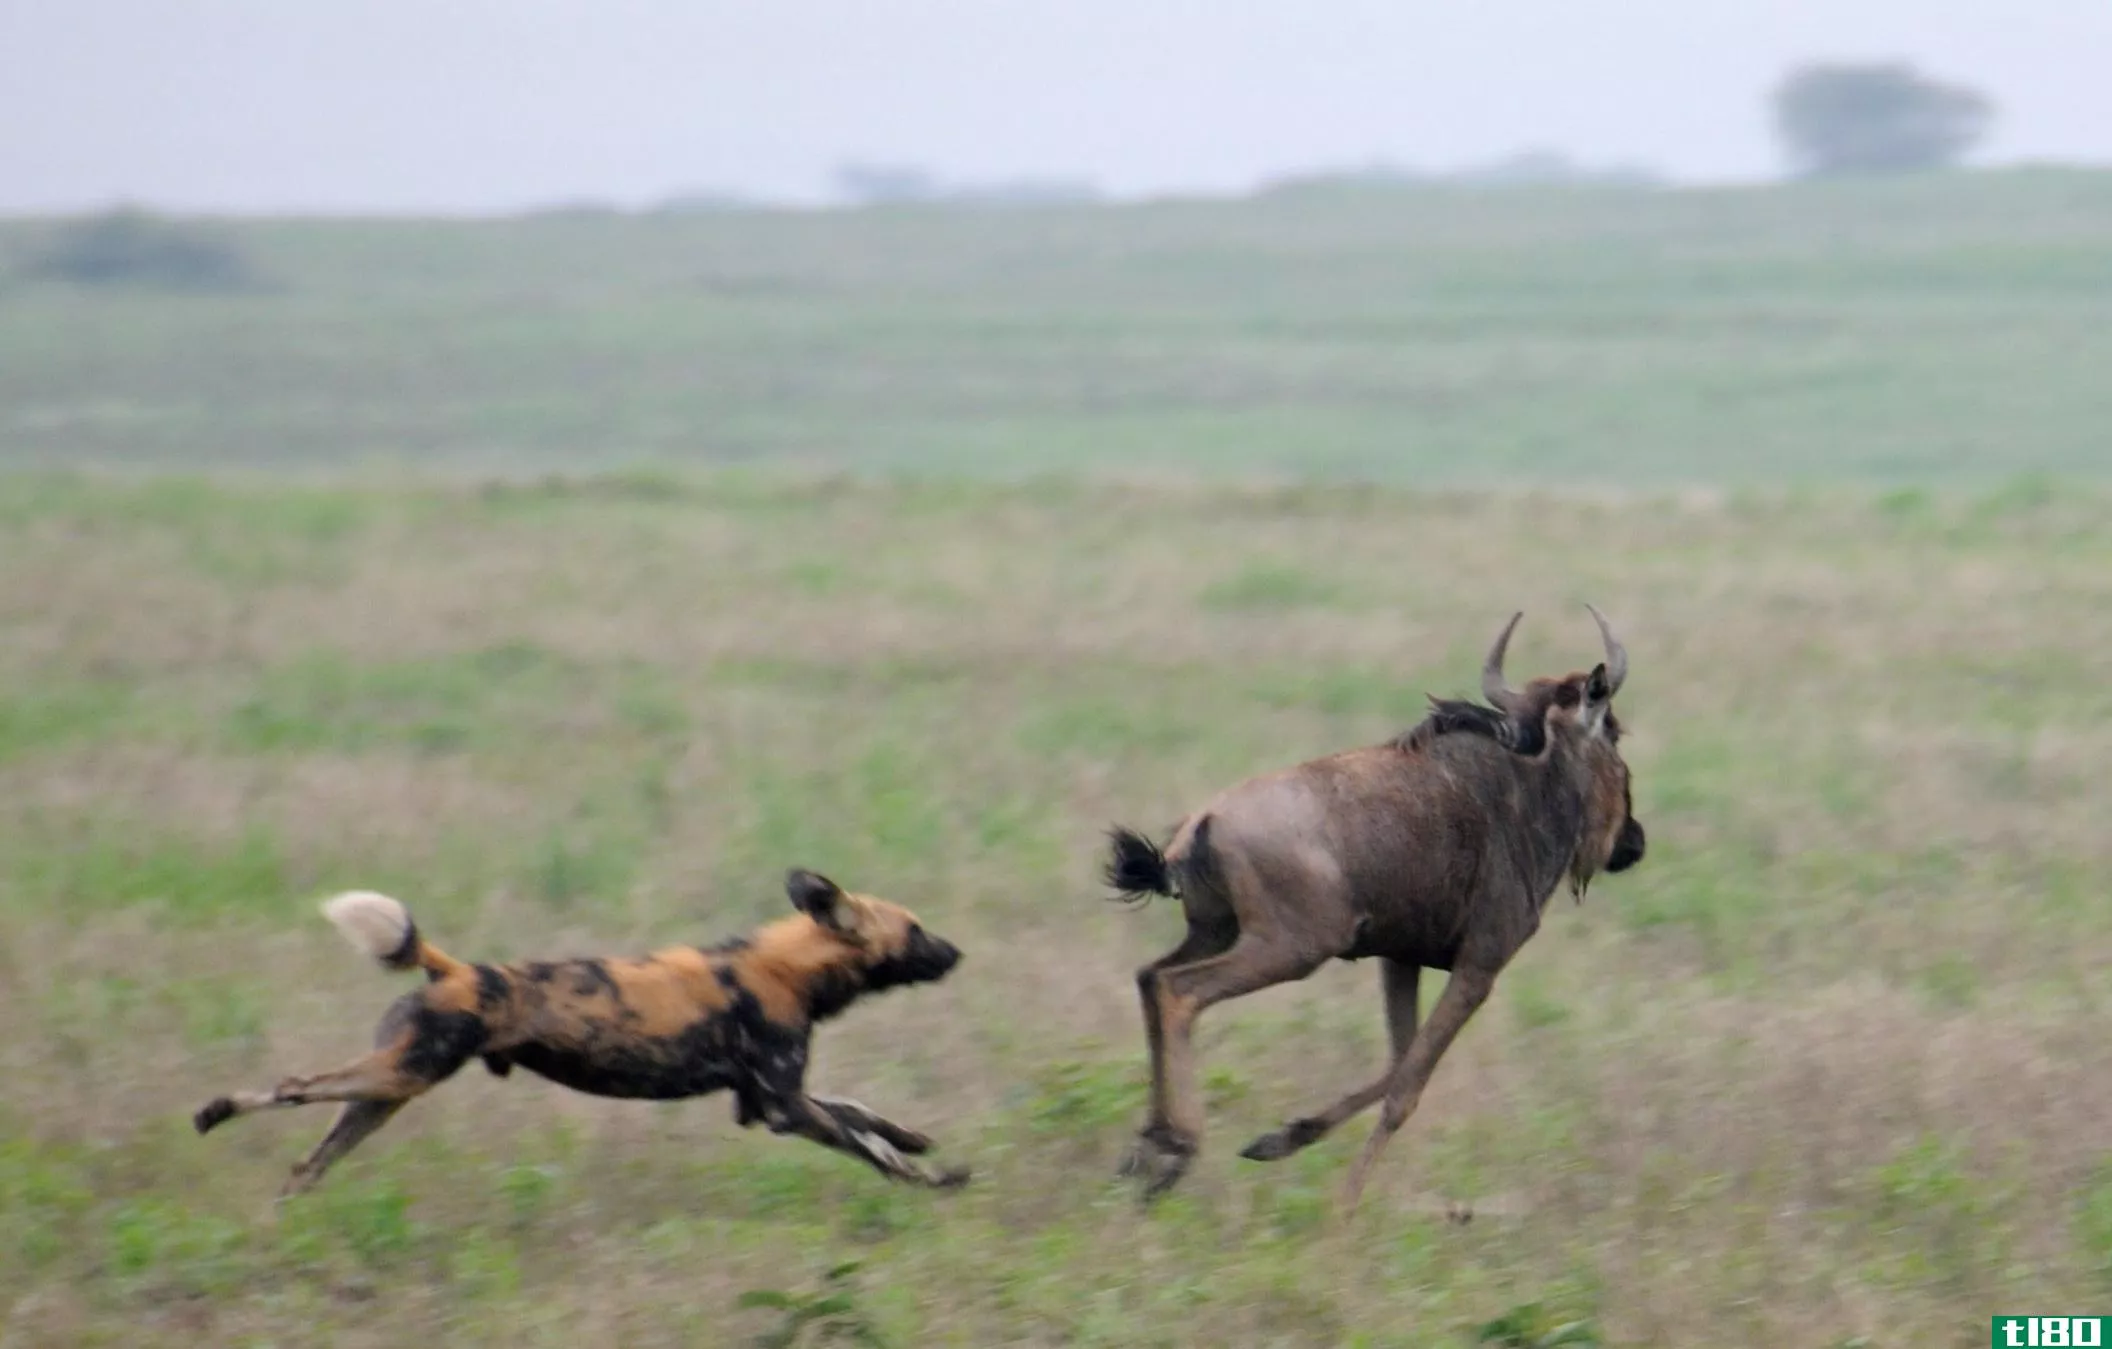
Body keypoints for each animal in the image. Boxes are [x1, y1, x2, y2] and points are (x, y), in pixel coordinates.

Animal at [194, 869, 967, 1199]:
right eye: (917, 928)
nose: (957, 951)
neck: (791, 968)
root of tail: (455, 968)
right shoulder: (781, 1107)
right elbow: (863, 1144)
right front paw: (928, 1177)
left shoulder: (760, 1100)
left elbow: (861, 1113)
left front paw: (914, 1138)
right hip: (401, 1076)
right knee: (294, 1086)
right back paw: (213, 1112)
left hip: (388, 1092)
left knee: (309, 1161)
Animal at [1106, 608, 1647, 1207]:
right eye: (1614, 732)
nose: (1633, 842)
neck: (1527, 789)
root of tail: (1203, 822)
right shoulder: (1480, 967)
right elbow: (1407, 1089)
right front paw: (1344, 1206)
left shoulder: (1400, 957)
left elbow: (1396, 1063)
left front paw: (1279, 1140)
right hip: (1288, 950)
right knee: (1178, 991)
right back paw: (1177, 1149)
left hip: (1215, 932)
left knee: (1149, 978)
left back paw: (1148, 1149)